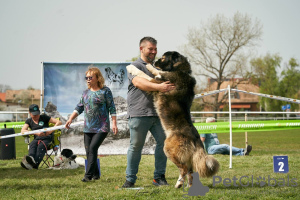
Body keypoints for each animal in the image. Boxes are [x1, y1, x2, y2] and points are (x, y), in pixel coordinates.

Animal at [125, 50, 219, 188]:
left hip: (168, 149)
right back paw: (188, 186)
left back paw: (179, 184)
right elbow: (156, 72)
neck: (181, 71)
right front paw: (149, 66)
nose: (154, 61)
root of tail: (195, 138)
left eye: (164, 58)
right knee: (190, 171)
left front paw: (133, 67)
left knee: (184, 169)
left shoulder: (157, 84)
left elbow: (144, 74)